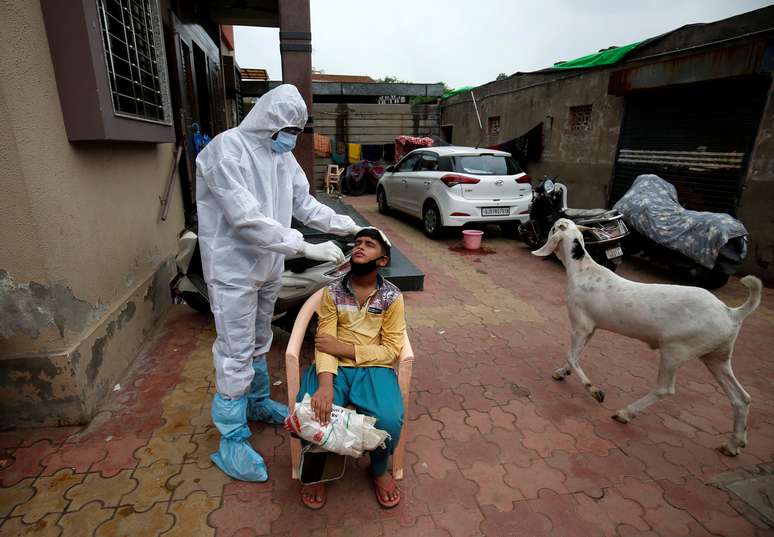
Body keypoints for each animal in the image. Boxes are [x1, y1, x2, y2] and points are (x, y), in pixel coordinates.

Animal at [532, 218, 764, 456]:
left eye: (554, 227)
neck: (583, 269)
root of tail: (732, 313)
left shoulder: (581, 326)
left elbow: (571, 356)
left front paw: (595, 391)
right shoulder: (591, 329)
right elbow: (574, 358)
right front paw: (562, 372)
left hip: (675, 350)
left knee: (665, 389)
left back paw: (625, 413)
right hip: (716, 356)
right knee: (741, 398)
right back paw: (734, 444)